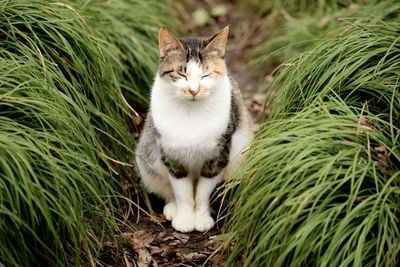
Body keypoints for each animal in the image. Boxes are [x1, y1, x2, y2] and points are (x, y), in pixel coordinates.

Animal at [136, 26, 252, 233]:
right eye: (182, 74)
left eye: (206, 74)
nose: (193, 90)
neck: (191, 112)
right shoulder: (172, 156)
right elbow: (182, 192)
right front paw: (184, 218)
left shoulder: (219, 155)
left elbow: (204, 190)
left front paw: (201, 216)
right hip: (146, 155)